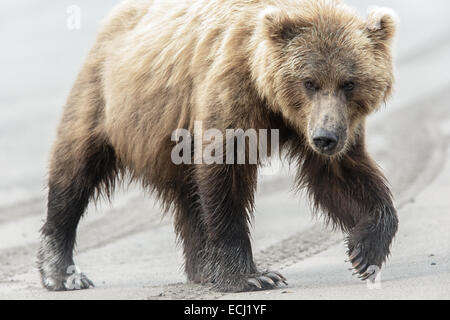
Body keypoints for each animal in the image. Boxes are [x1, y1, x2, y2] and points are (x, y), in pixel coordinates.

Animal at [37, 0, 398, 292]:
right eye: (309, 82)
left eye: (349, 83)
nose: (325, 137)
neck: (271, 100)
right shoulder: (231, 90)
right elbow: (225, 175)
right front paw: (252, 276)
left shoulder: (329, 125)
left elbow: (342, 175)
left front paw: (365, 251)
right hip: (107, 98)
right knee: (75, 169)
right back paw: (61, 271)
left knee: (189, 196)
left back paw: (202, 269)